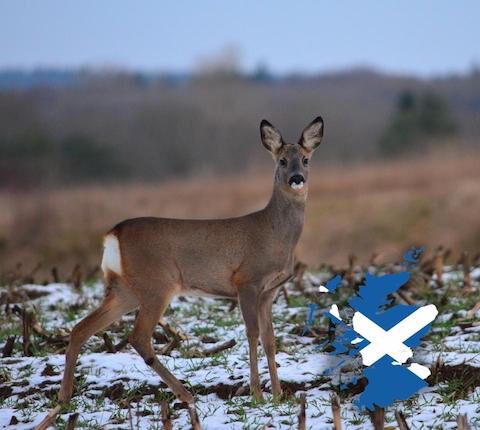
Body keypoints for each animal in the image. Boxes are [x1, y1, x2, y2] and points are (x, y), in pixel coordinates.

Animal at [35, 116, 324, 430]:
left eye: (306, 159)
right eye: (282, 160)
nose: (297, 178)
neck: (274, 233)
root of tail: (113, 234)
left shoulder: (270, 290)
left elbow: (270, 339)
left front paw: (279, 394)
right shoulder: (246, 281)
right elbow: (252, 333)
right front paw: (258, 395)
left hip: (125, 290)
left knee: (80, 328)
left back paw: (63, 399)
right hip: (157, 285)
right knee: (138, 336)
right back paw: (186, 395)